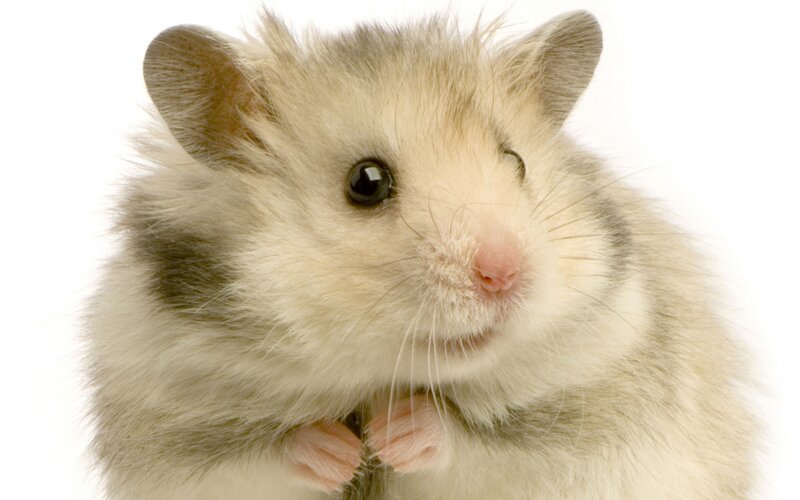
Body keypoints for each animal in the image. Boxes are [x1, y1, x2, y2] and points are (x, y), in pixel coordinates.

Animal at [86, 9, 755, 499]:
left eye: (515, 162)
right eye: (367, 182)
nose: (505, 274)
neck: (384, 375)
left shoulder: (585, 434)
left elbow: (472, 449)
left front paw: (395, 432)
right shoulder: (171, 443)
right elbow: (264, 459)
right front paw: (340, 449)